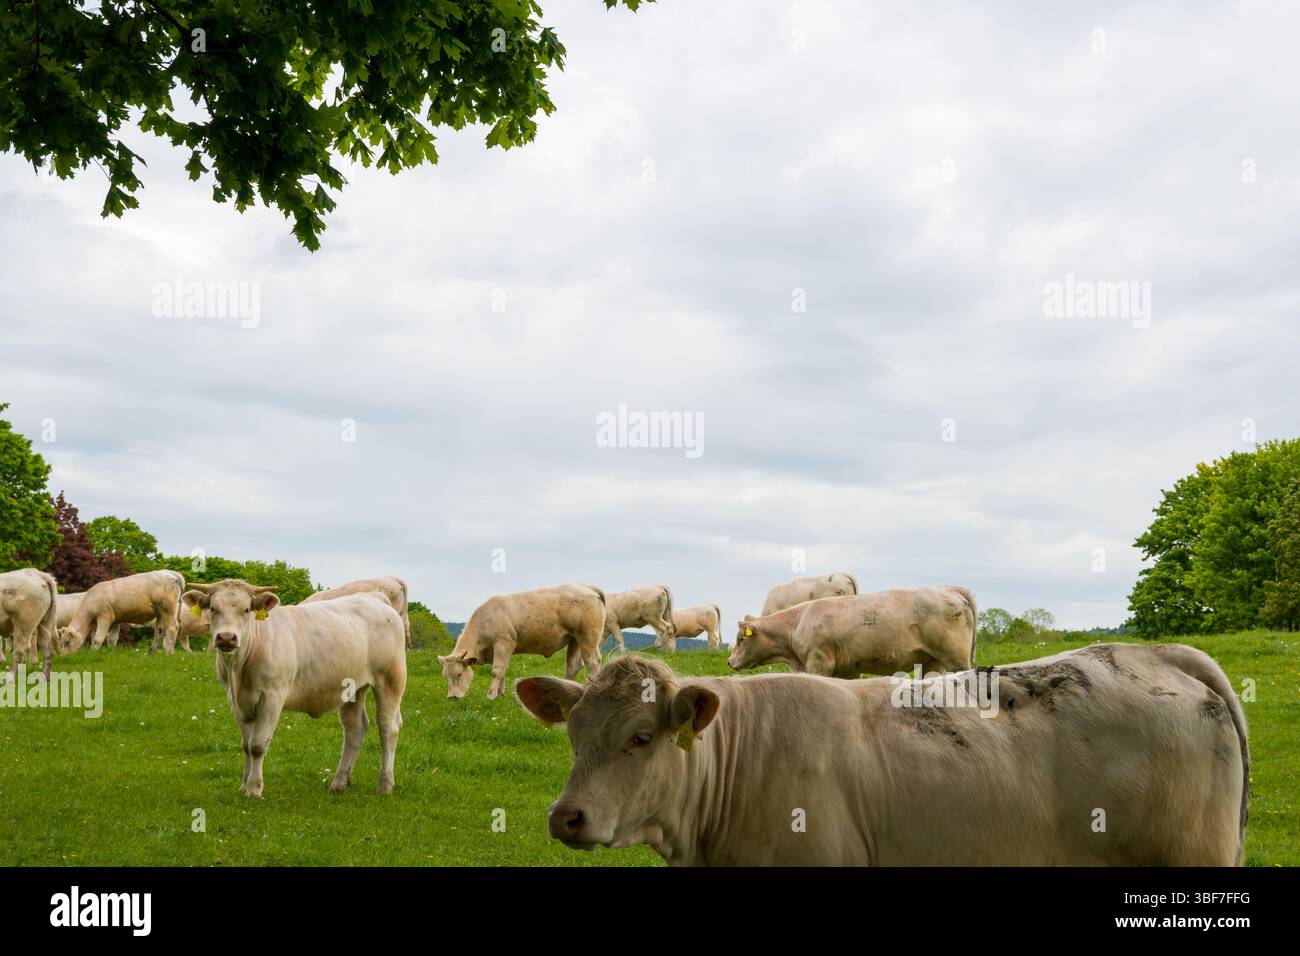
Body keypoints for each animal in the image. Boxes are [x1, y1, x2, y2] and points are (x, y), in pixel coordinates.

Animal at [184, 579, 407, 798]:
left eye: (246, 609)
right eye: (213, 608)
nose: (227, 637)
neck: (238, 670)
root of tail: (374, 597)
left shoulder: (272, 696)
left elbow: (257, 745)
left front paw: (254, 788)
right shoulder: (237, 701)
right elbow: (246, 746)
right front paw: (244, 784)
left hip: (391, 679)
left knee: (388, 728)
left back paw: (385, 785)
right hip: (353, 688)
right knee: (354, 729)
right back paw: (339, 783)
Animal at [440, 584, 606, 701]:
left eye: (459, 674)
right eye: (445, 677)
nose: (452, 697)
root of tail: (587, 587)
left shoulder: (503, 643)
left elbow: (497, 670)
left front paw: (491, 695)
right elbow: (503, 670)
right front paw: (500, 694)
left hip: (588, 638)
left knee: (592, 663)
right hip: (575, 640)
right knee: (573, 666)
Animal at [730, 586, 976, 677]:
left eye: (741, 639)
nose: (729, 662)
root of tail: (950, 589)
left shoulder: (818, 663)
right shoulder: (847, 670)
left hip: (956, 659)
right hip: (932, 662)